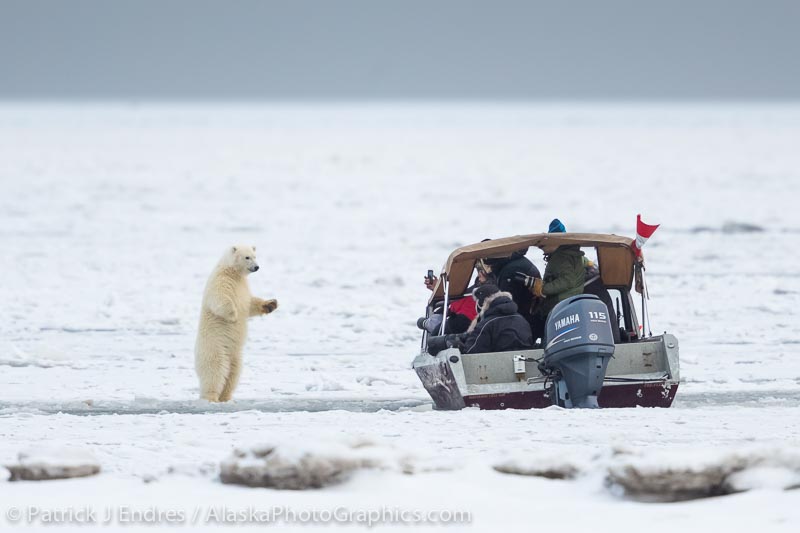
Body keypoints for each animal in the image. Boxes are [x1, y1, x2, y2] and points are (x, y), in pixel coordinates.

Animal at [195, 244, 278, 400]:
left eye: (255, 256)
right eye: (247, 257)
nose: (257, 267)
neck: (232, 272)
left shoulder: (243, 287)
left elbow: (251, 304)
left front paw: (271, 304)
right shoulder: (221, 280)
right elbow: (219, 298)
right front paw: (234, 315)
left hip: (235, 354)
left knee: (233, 373)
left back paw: (226, 397)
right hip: (215, 347)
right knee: (215, 371)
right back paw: (211, 397)